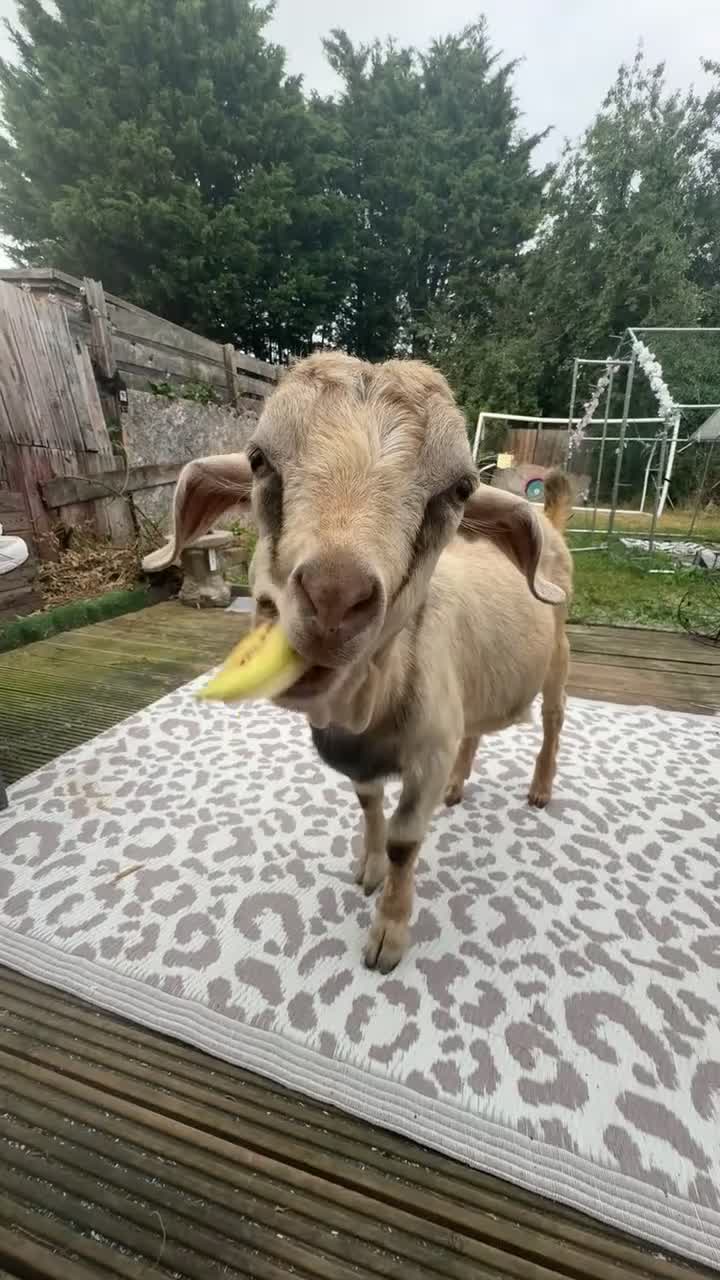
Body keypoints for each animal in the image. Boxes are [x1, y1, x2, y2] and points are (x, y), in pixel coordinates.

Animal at [144, 353, 573, 973]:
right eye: (258, 459)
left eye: (460, 488)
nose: (333, 596)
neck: (366, 714)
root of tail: (551, 522)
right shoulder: (373, 757)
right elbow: (370, 807)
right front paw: (366, 870)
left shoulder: (426, 755)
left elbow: (404, 841)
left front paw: (388, 935)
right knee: (476, 729)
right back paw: (460, 785)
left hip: (560, 657)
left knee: (554, 722)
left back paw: (540, 789)